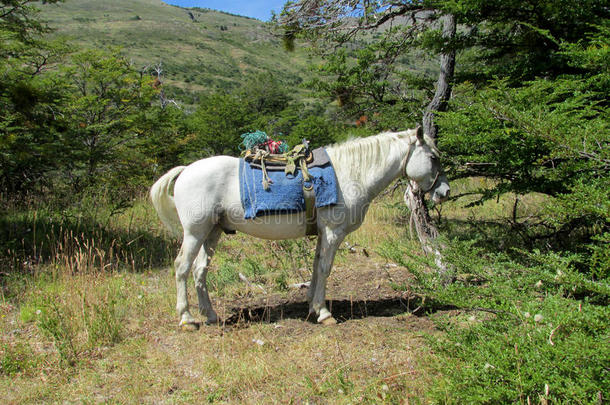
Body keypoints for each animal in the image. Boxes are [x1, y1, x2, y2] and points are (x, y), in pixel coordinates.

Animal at [150, 127, 448, 328]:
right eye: (433, 158)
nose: (444, 191)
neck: (350, 173)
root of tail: (186, 170)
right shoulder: (333, 233)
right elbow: (326, 268)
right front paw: (324, 313)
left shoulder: (323, 234)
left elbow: (316, 267)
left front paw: (313, 307)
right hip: (195, 233)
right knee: (182, 268)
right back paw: (187, 318)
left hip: (211, 233)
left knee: (199, 270)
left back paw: (210, 315)